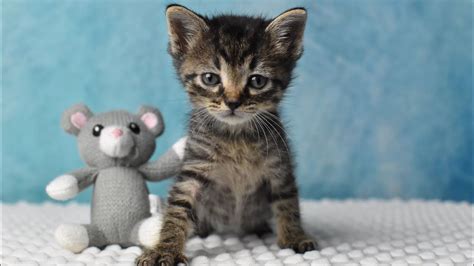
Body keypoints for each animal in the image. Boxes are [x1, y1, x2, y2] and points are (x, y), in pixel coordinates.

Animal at [137, 4, 314, 266]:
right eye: (210, 78)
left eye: (257, 81)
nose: (232, 102)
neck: (236, 137)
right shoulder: (194, 165)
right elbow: (178, 207)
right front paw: (165, 248)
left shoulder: (279, 166)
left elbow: (287, 200)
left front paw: (294, 236)